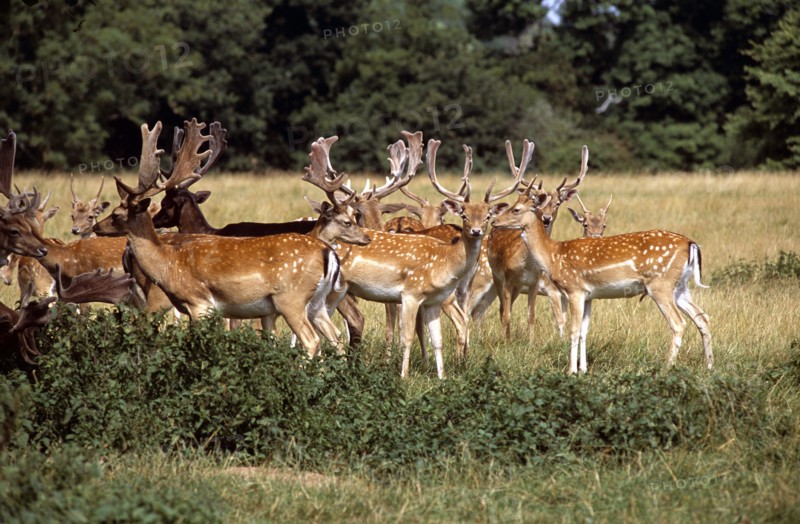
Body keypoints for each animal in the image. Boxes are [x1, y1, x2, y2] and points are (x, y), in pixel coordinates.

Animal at [94, 119, 369, 357]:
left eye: (116, 214)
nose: (97, 226)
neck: (168, 263)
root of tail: (327, 251)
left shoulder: (200, 303)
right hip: (317, 302)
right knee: (335, 336)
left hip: (290, 298)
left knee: (313, 341)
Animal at [326, 138, 522, 378]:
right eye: (465, 215)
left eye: (487, 216)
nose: (476, 231)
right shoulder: (409, 296)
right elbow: (407, 334)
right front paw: (404, 375)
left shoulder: (424, 300)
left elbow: (428, 336)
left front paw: (437, 376)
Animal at [492, 149, 712, 374]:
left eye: (517, 209)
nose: (494, 221)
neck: (553, 255)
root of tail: (691, 244)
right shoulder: (589, 295)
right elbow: (584, 331)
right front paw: (583, 369)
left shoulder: (574, 290)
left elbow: (573, 330)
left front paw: (570, 371)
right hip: (680, 285)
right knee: (703, 317)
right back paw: (709, 366)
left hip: (660, 284)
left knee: (678, 323)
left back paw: (667, 367)